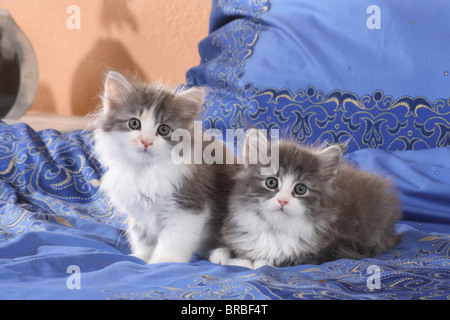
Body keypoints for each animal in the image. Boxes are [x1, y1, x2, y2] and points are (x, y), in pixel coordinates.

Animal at [89, 71, 234, 264]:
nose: (146, 141)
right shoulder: (139, 214)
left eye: (164, 129)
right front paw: (141, 257)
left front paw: (165, 260)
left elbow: (175, 239)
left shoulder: (187, 206)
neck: (145, 171)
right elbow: (142, 239)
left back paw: (220, 254)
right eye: (134, 123)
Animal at [209, 131, 402, 268]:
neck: (275, 231)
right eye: (271, 182)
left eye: (300, 189)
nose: (283, 201)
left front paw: (252, 262)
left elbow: (273, 261)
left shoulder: (331, 248)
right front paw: (221, 254)